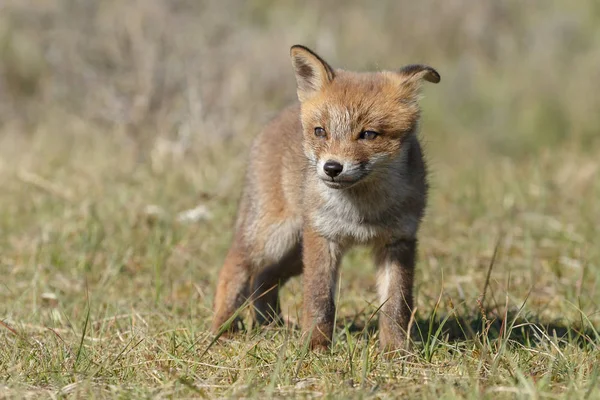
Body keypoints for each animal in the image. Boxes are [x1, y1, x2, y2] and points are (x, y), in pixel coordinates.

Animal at [212, 43, 440, 350]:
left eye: (369, 134)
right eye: (321, 131)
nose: (332, 168)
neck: (362, 210)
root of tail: (278, 117)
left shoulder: (399, 240)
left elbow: (397, 305)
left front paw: (396, 351)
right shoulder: (323, 236)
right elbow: (320, 300)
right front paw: (315, 348)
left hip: (294, 253)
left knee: (263, 279)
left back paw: (271, 326)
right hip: (274, 238)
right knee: (235, 267)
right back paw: (223, 330)